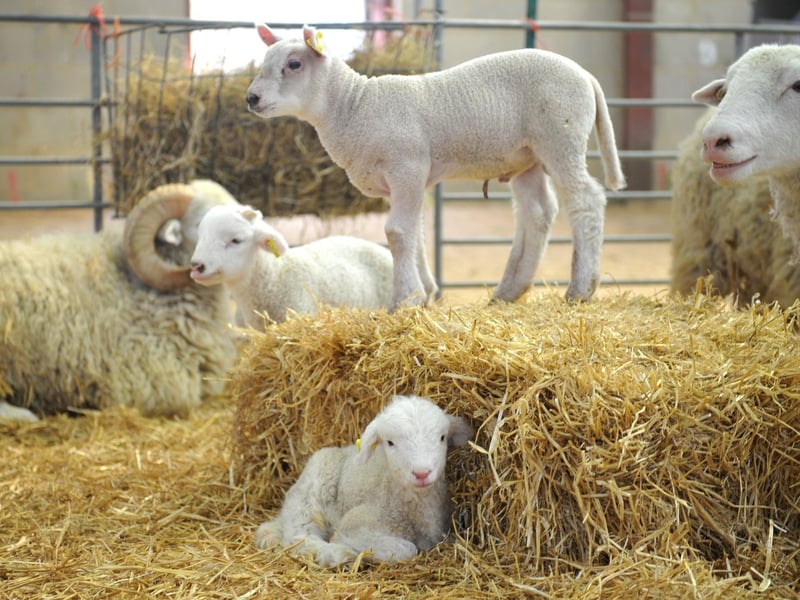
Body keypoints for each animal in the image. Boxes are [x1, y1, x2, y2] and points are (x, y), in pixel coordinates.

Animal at [245, 24, 626, 310]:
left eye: (294, 64)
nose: (251, 98)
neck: (355, 106)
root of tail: (585, 75)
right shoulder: (401, 182)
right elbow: (415, 234)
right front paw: (424, 292)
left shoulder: (407, 166)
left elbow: (397, 233)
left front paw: (404, 300)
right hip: (526, 158)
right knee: (538, 213)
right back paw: (508, 291)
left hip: (561, 138)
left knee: (586, 200)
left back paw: (581, 289)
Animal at [253, 394, 473, 567]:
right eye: (390, 443)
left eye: (442, 437)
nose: (421, 473)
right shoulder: (357, 522)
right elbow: (407, 549)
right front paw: (348, 547)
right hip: (311, 492)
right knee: (299, 536)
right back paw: (338, 555)